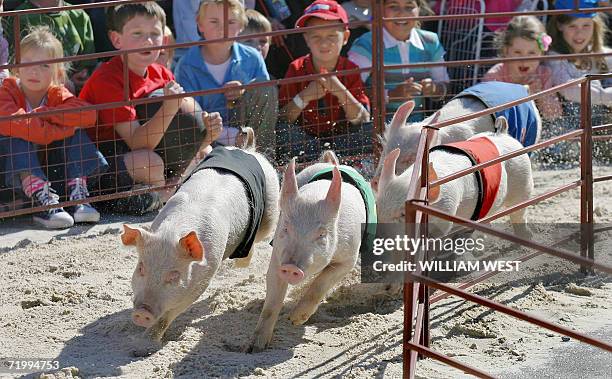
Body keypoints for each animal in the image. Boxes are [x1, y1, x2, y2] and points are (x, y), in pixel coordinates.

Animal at [119, 135, 280, 342]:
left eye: (174, 275)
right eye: (141, 268)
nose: (141, 312)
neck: (173, 231)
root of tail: (248, 149)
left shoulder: (204, 276)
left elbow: (172, 312)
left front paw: (147, 342)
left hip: (270, 210)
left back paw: (241, 262)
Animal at [247, 151, 372, 354]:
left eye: (321, 234)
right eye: (286, 228)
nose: (291, 267)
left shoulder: (349, 257)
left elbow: (321, 283)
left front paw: (295, 320)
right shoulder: (278, 256)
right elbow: (271, 302)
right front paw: (253, 349)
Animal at [376, 117, 532, 239]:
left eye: (403, 214)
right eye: (377, 207)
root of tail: (501, 133)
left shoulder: (447, 208)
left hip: (523, 181)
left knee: (519, 212)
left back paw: (526, 236)